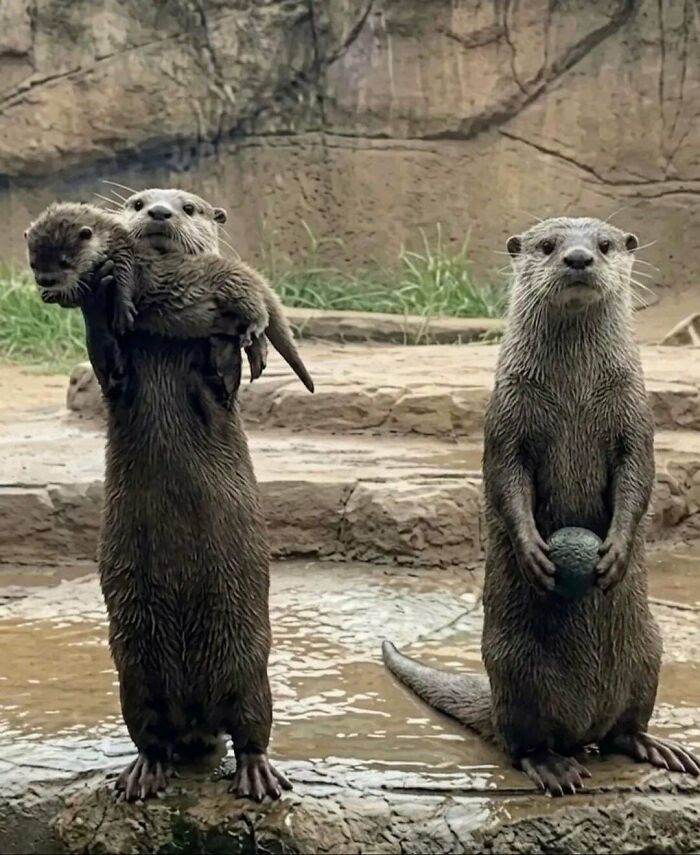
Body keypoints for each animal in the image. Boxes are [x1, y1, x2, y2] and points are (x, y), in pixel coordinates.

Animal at [383, 217, 700, 796]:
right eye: (549, 245)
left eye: (604, 244)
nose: (577, 258)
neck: (575, 394)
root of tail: (584, 728)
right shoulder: (507, 415)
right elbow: (505, 479)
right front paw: (534, 552)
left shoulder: (635, 413)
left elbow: (640, 477)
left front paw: (616, 551)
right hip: (514, 669)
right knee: (522, 742)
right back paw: (552, 765)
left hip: (650, 650)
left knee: (625, 728)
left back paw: (654, 746)